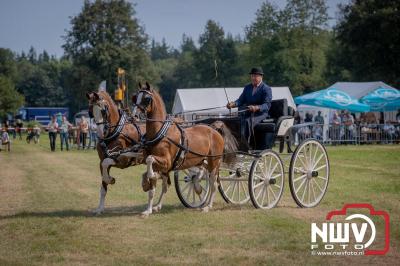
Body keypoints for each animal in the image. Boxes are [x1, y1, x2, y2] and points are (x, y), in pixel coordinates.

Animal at [133, 83, 236, 216]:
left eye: (147, 99)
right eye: (135, 97)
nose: (134, 116)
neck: (160, 133)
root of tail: (214, 129)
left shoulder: (166, 162)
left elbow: (150, 161)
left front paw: (151, 176)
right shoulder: (159, 165)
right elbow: (152, 188)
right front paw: (148, 209)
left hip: (214, 162)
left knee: (213, 183)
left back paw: (208, 206)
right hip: (202, 160)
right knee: (202, 173)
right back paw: (197, 188)